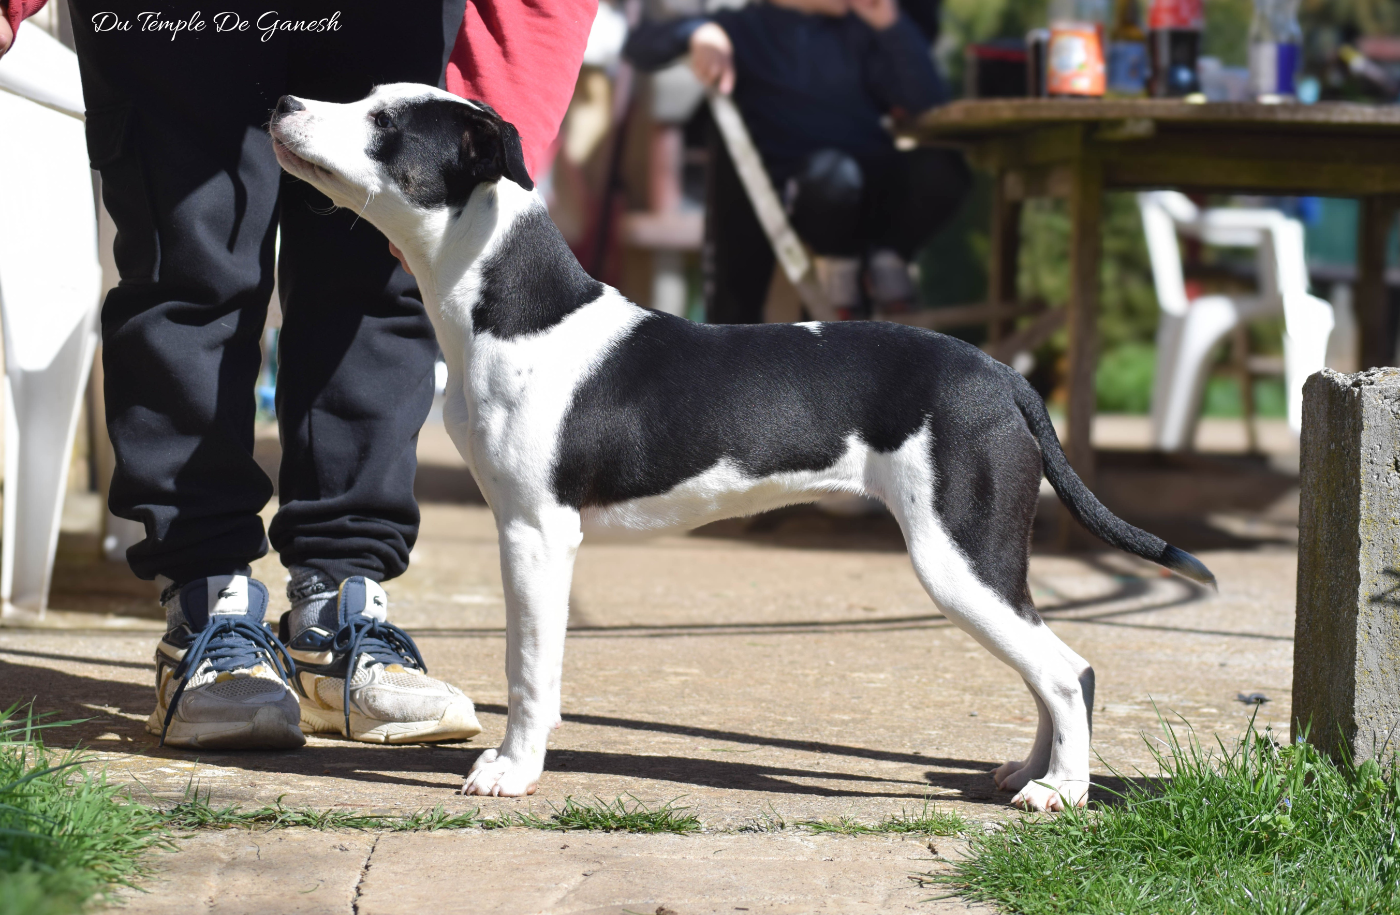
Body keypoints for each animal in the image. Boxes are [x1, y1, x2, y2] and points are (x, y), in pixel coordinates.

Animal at [269, 84, 1215, 811]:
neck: (514, 307)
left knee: (1068, 669)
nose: (281, 103)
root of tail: (1002, 374)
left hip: (960, 555)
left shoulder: (536, 535)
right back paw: (1026, 771)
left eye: (384, 124)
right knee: (1044, 666)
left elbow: (530, 668)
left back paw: (1062, 790)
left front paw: (512, 770)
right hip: (986, 562)